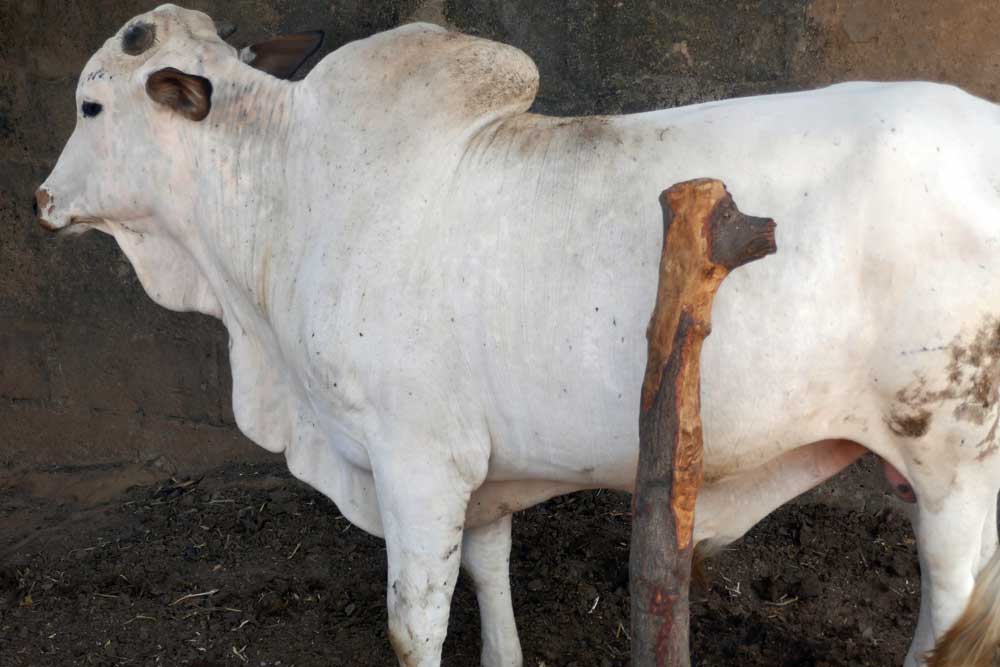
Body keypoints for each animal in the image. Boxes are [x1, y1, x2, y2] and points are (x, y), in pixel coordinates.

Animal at [33, 5, 1000, 666]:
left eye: (90, 107)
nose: (41, 198)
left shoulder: (417, 460)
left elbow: (413, 625)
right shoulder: (482, 471)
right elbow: (490, 569)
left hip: (952, 457)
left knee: (954, 608)